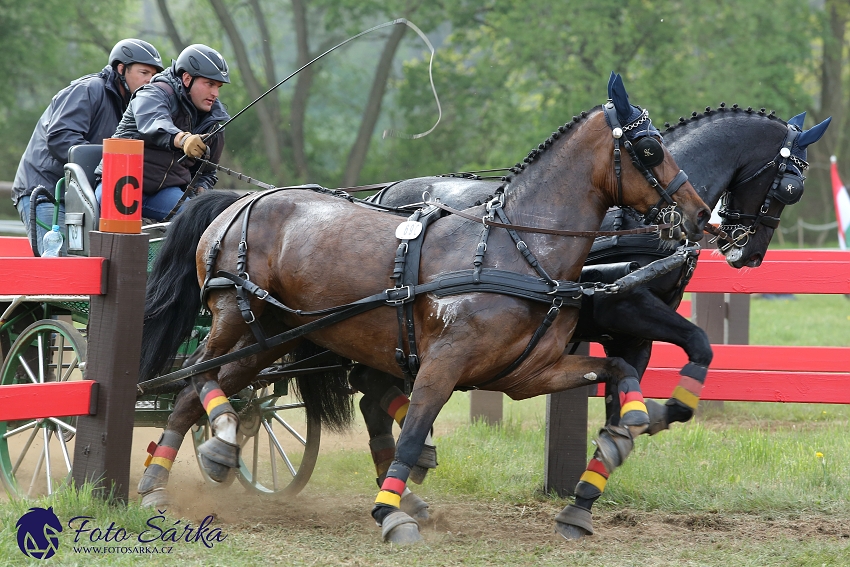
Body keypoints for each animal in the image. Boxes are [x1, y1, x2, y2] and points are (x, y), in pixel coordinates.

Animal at [139, 73, 708, 544]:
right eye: (651, 148)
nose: (702, 214)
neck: (516, 249)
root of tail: (237, 202)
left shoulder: (530, 373)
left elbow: (617, 370)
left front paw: (628, 428)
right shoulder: (443, 364)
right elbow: (411, 433)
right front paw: (391, 513)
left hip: (267, 339)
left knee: (196, 394)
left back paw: (163, 480)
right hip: (234, 315)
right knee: (195, 374)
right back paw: (217, 439)